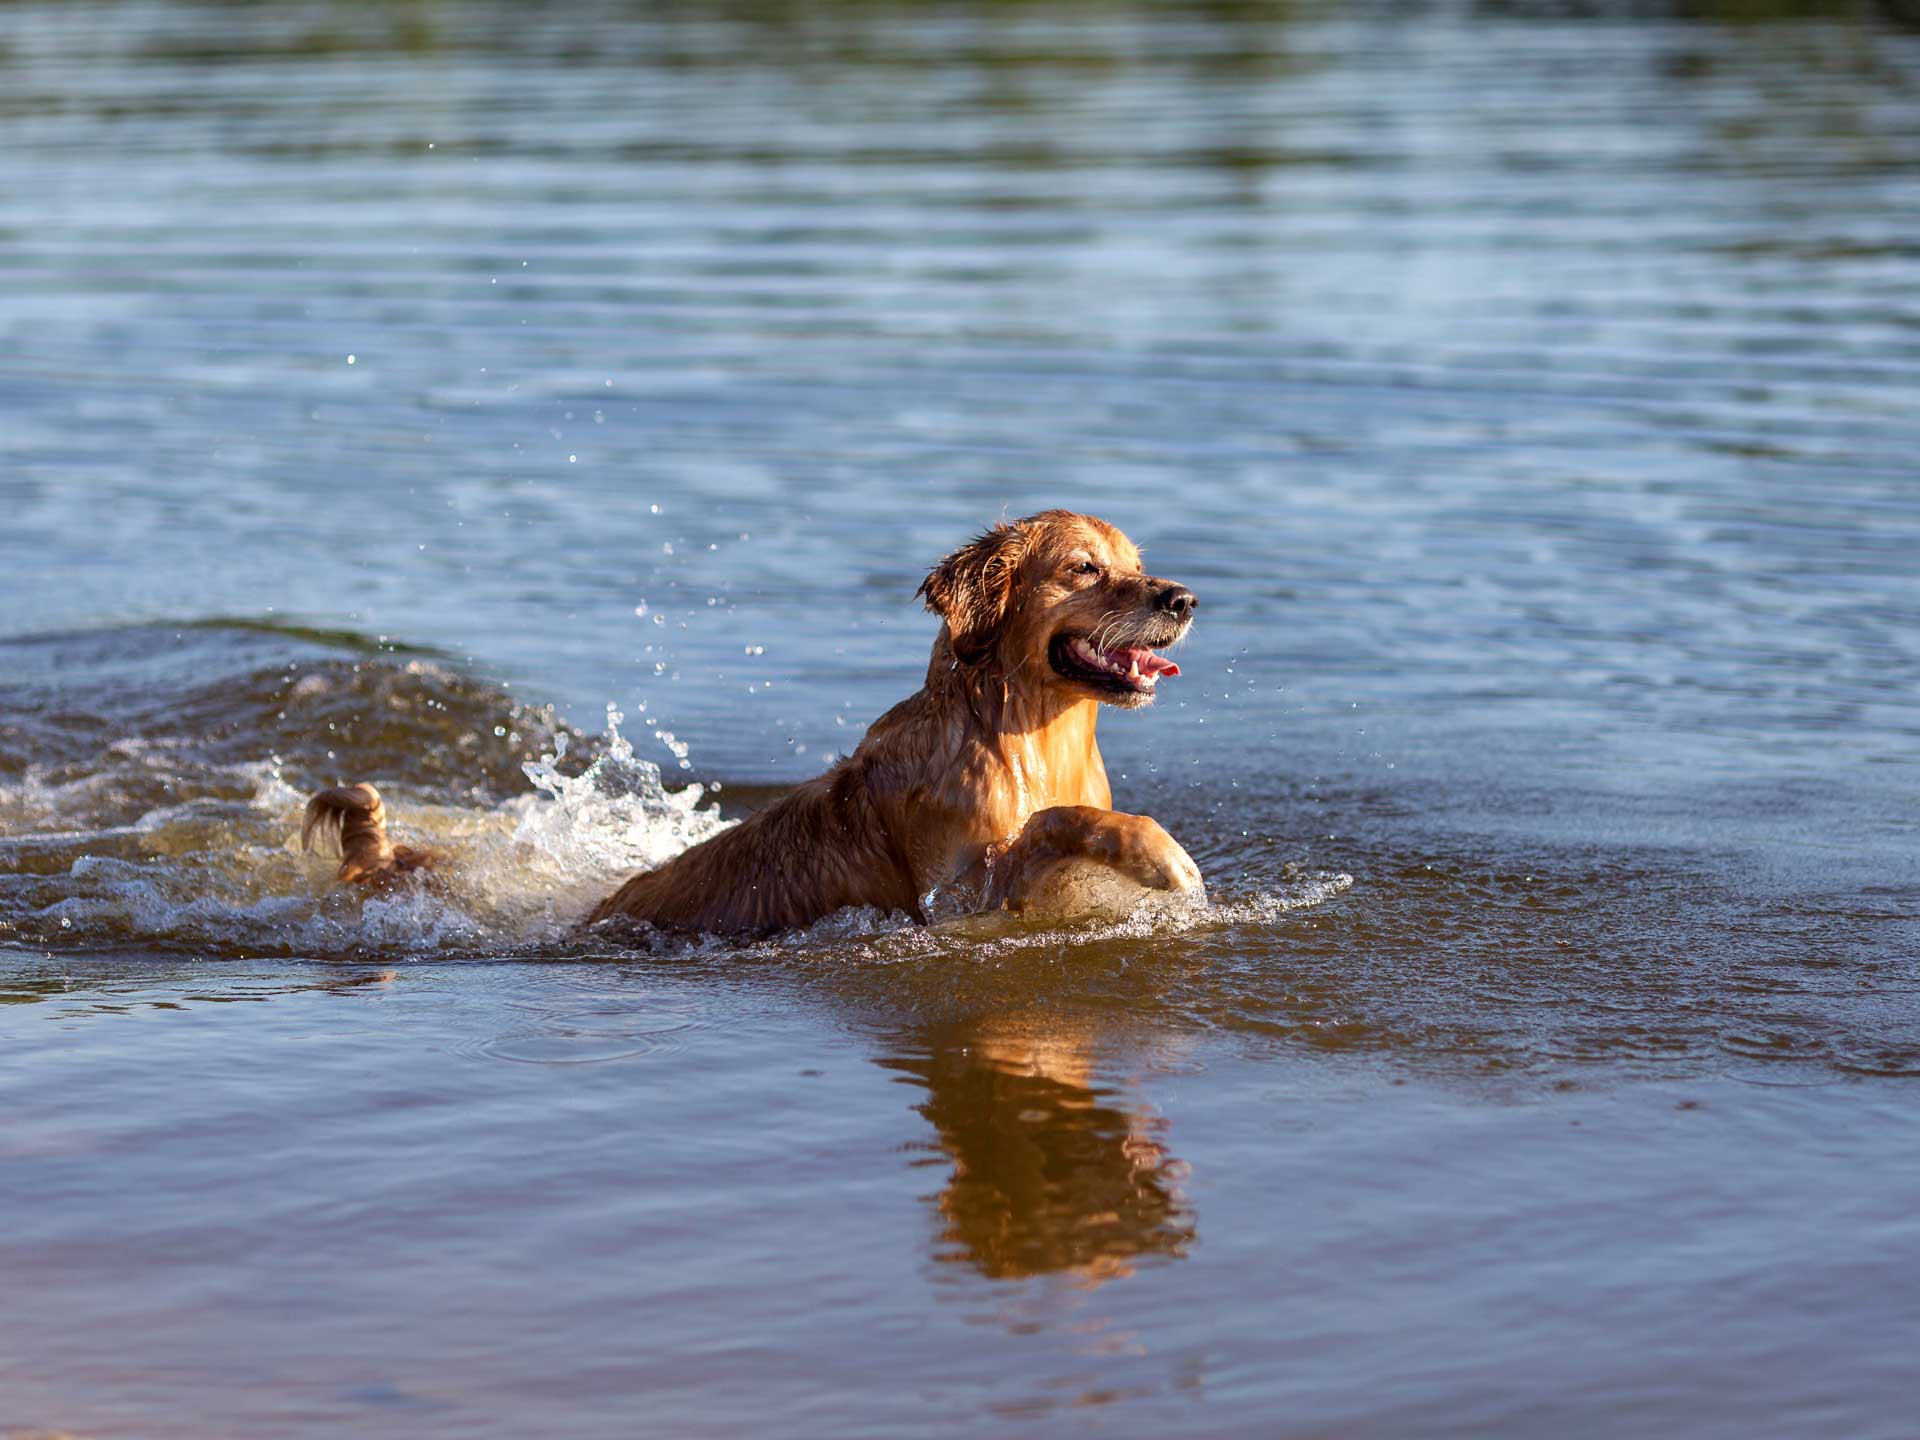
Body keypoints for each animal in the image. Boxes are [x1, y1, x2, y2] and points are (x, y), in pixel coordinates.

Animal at [299, 514, 1198, 940]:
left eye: (1137, 563)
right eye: (1084, 568)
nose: (1183, 598)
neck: (1027, 738)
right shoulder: (948, 898)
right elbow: (1055, 823)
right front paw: (1164, 856)